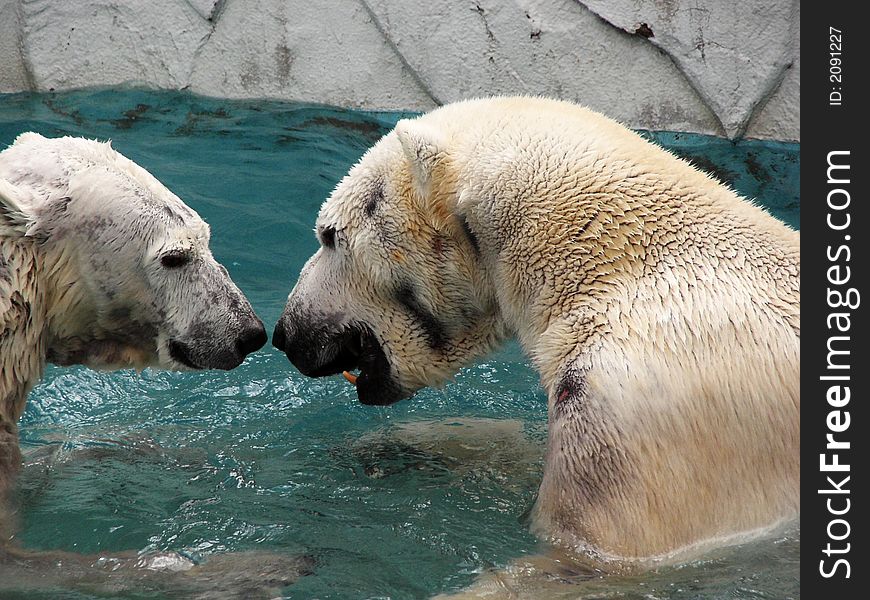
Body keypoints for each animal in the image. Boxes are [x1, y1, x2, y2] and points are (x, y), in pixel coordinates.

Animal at [274, 97, 804, 580]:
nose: (285, 333)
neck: (615, 262)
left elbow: (590, 550)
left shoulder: (640, 402)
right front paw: (392, 448)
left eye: (329, 235)